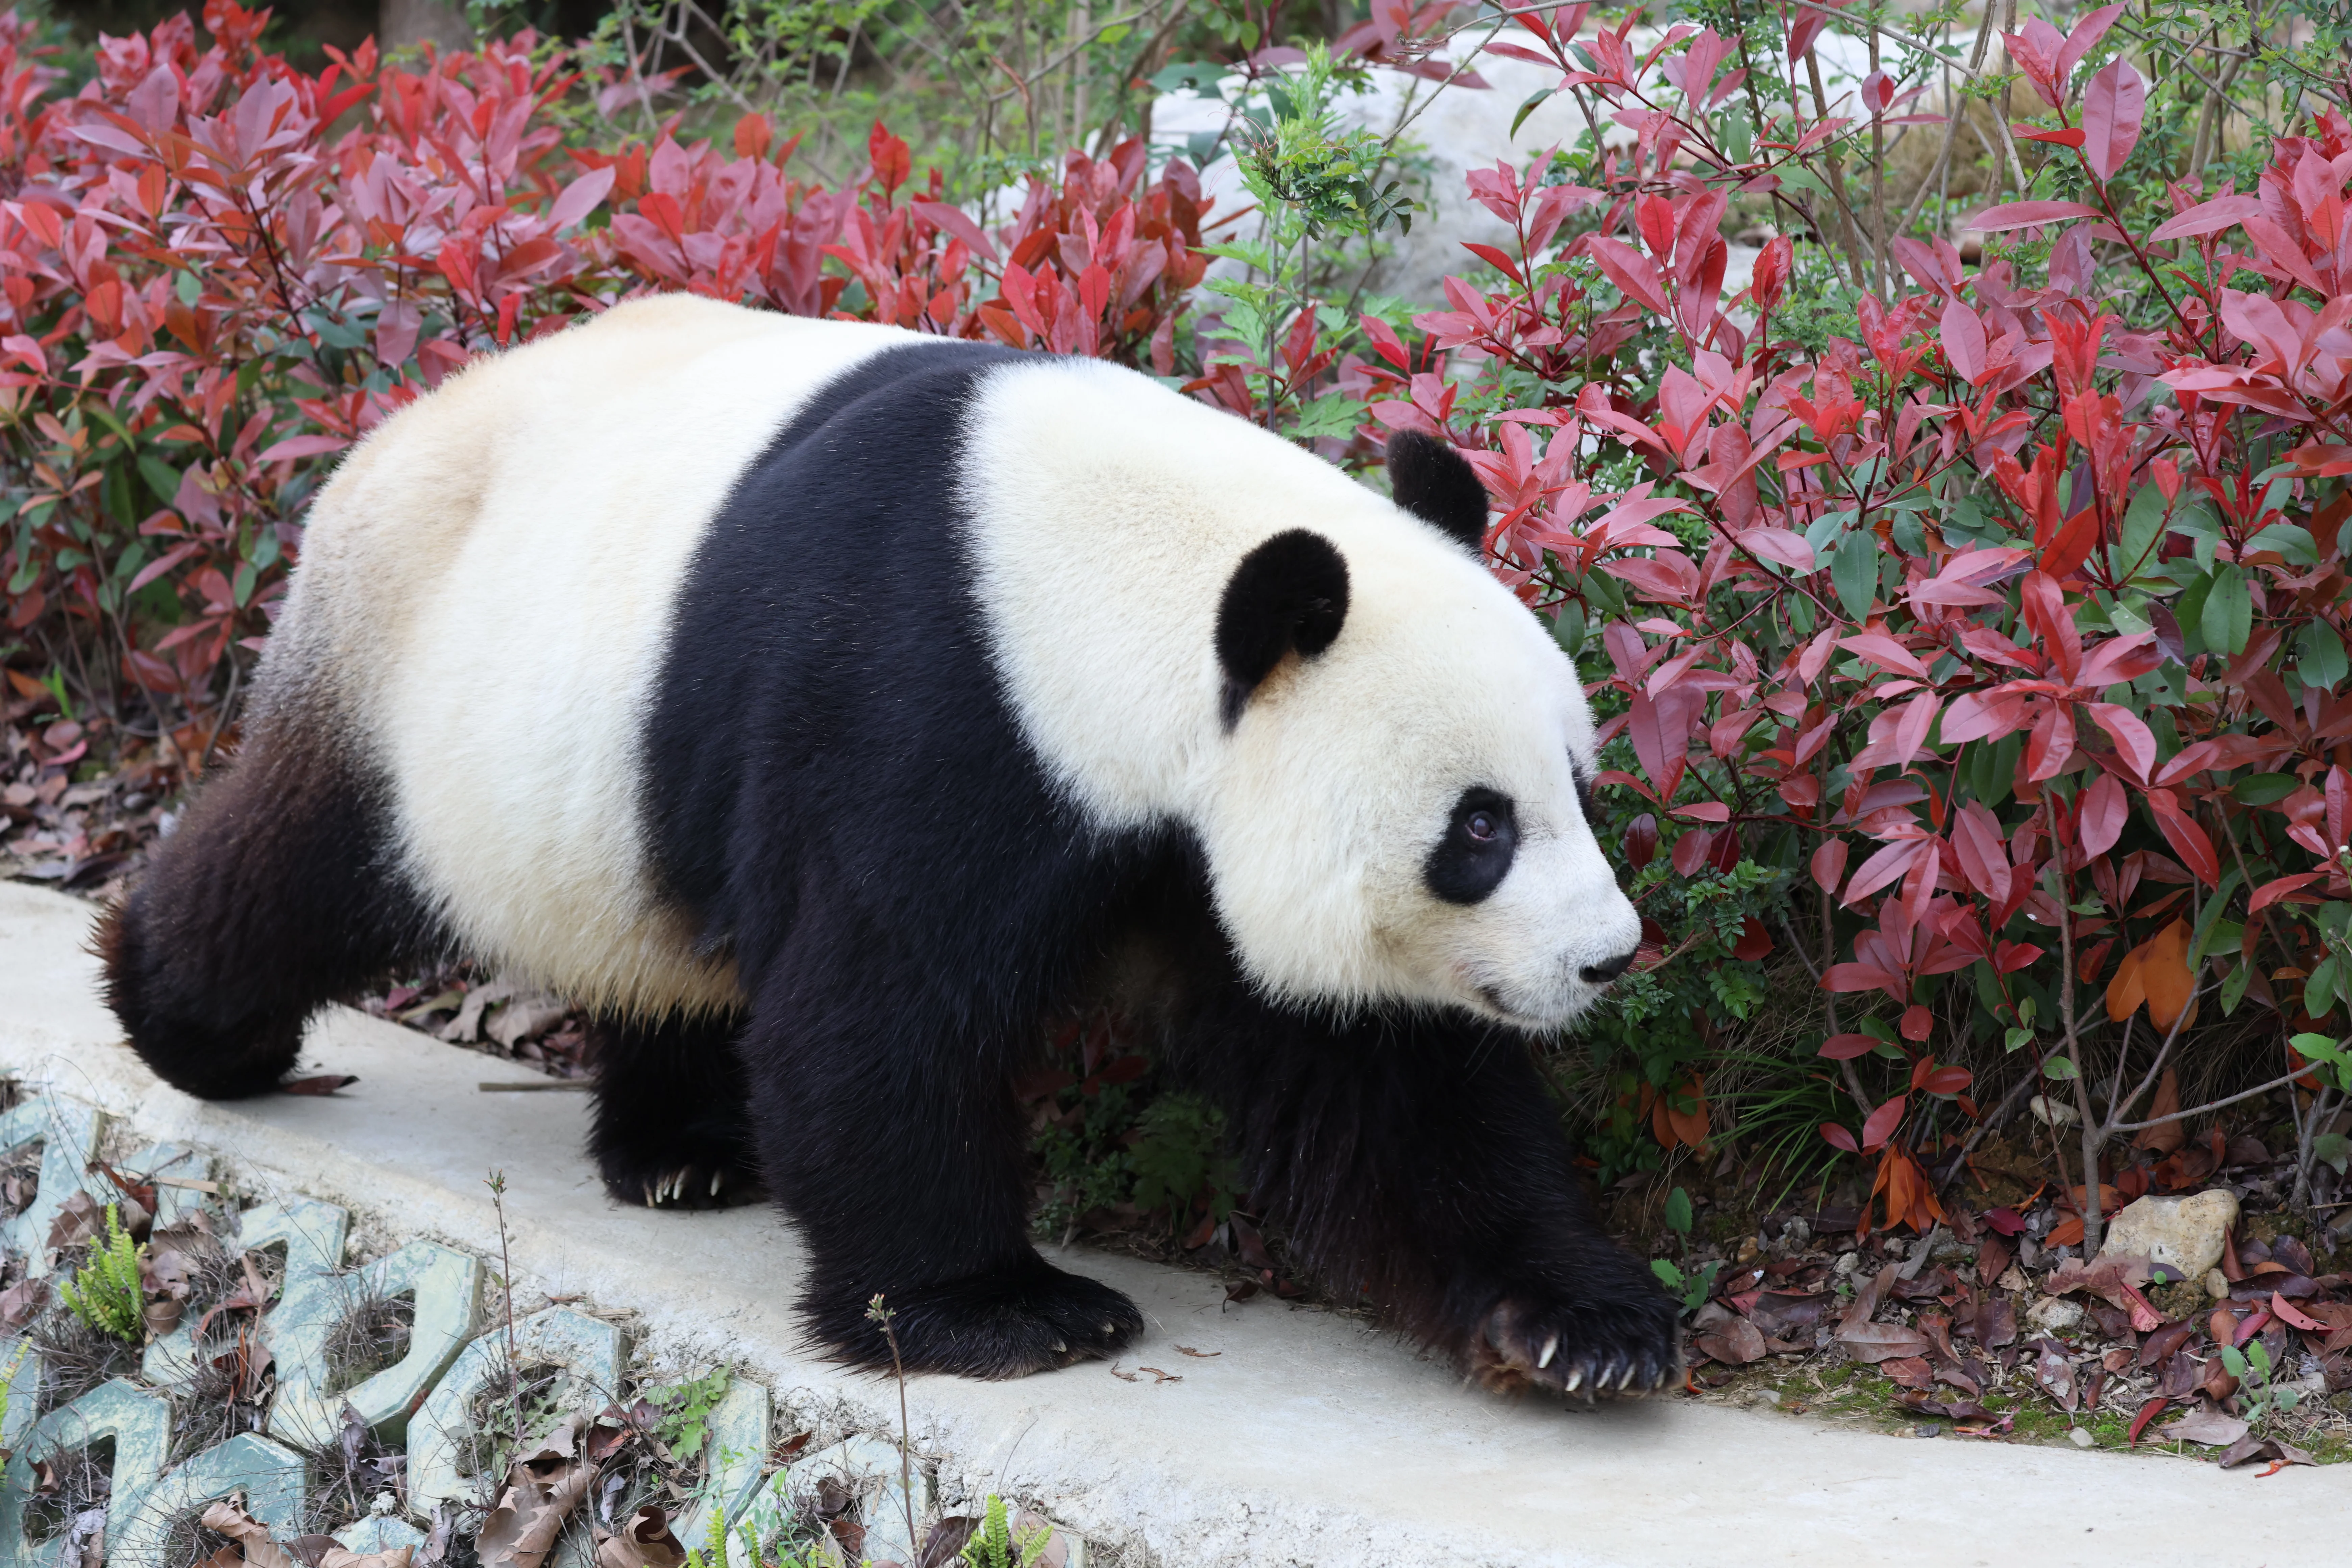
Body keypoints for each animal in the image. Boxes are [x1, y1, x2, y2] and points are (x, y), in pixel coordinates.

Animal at [100, 294, 1678, 1393]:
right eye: (1477, 828)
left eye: (1576, 783)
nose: (1606, 959)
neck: (1103, 569)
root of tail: (388, 427)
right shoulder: (928, 699)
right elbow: (878, 1019)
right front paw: (1002, 1309)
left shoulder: (1185, 832)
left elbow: (1376, 1075)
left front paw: (1578, 1323)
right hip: (417, 669)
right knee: (304, 863)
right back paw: (188, 1022)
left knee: (656, 945)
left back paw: (682, 1149)